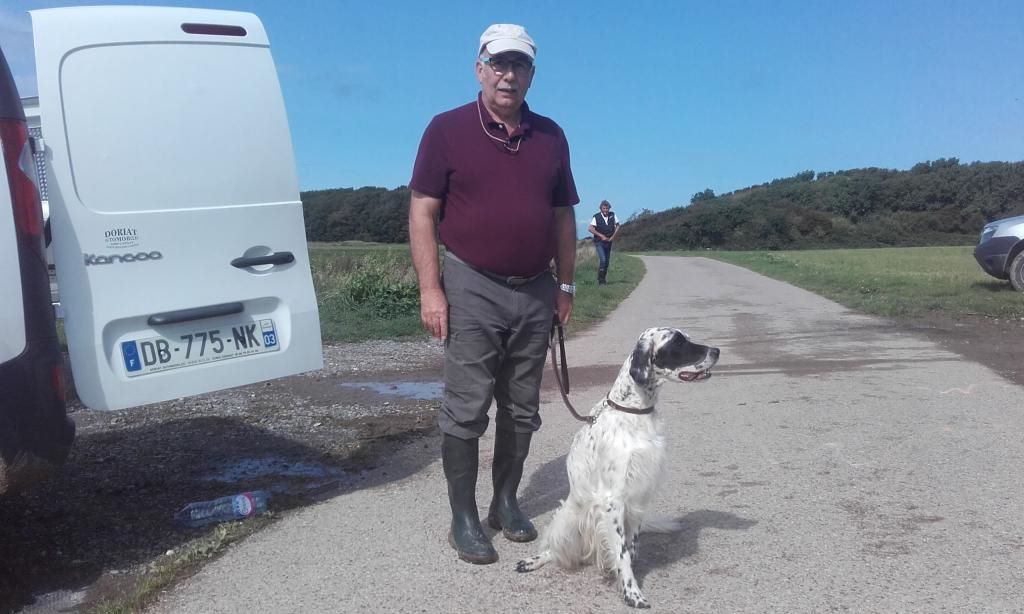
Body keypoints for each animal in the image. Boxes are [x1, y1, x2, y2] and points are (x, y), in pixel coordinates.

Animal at [512, 329, 720, 605]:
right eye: (678, 342)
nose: (717, 351)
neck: (634, 411)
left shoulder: (639, 496)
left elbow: (629, 549)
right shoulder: (612, 500)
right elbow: (621, 554)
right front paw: (632, 593)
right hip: (569, 520)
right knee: (553, 548)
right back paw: (531, 561)